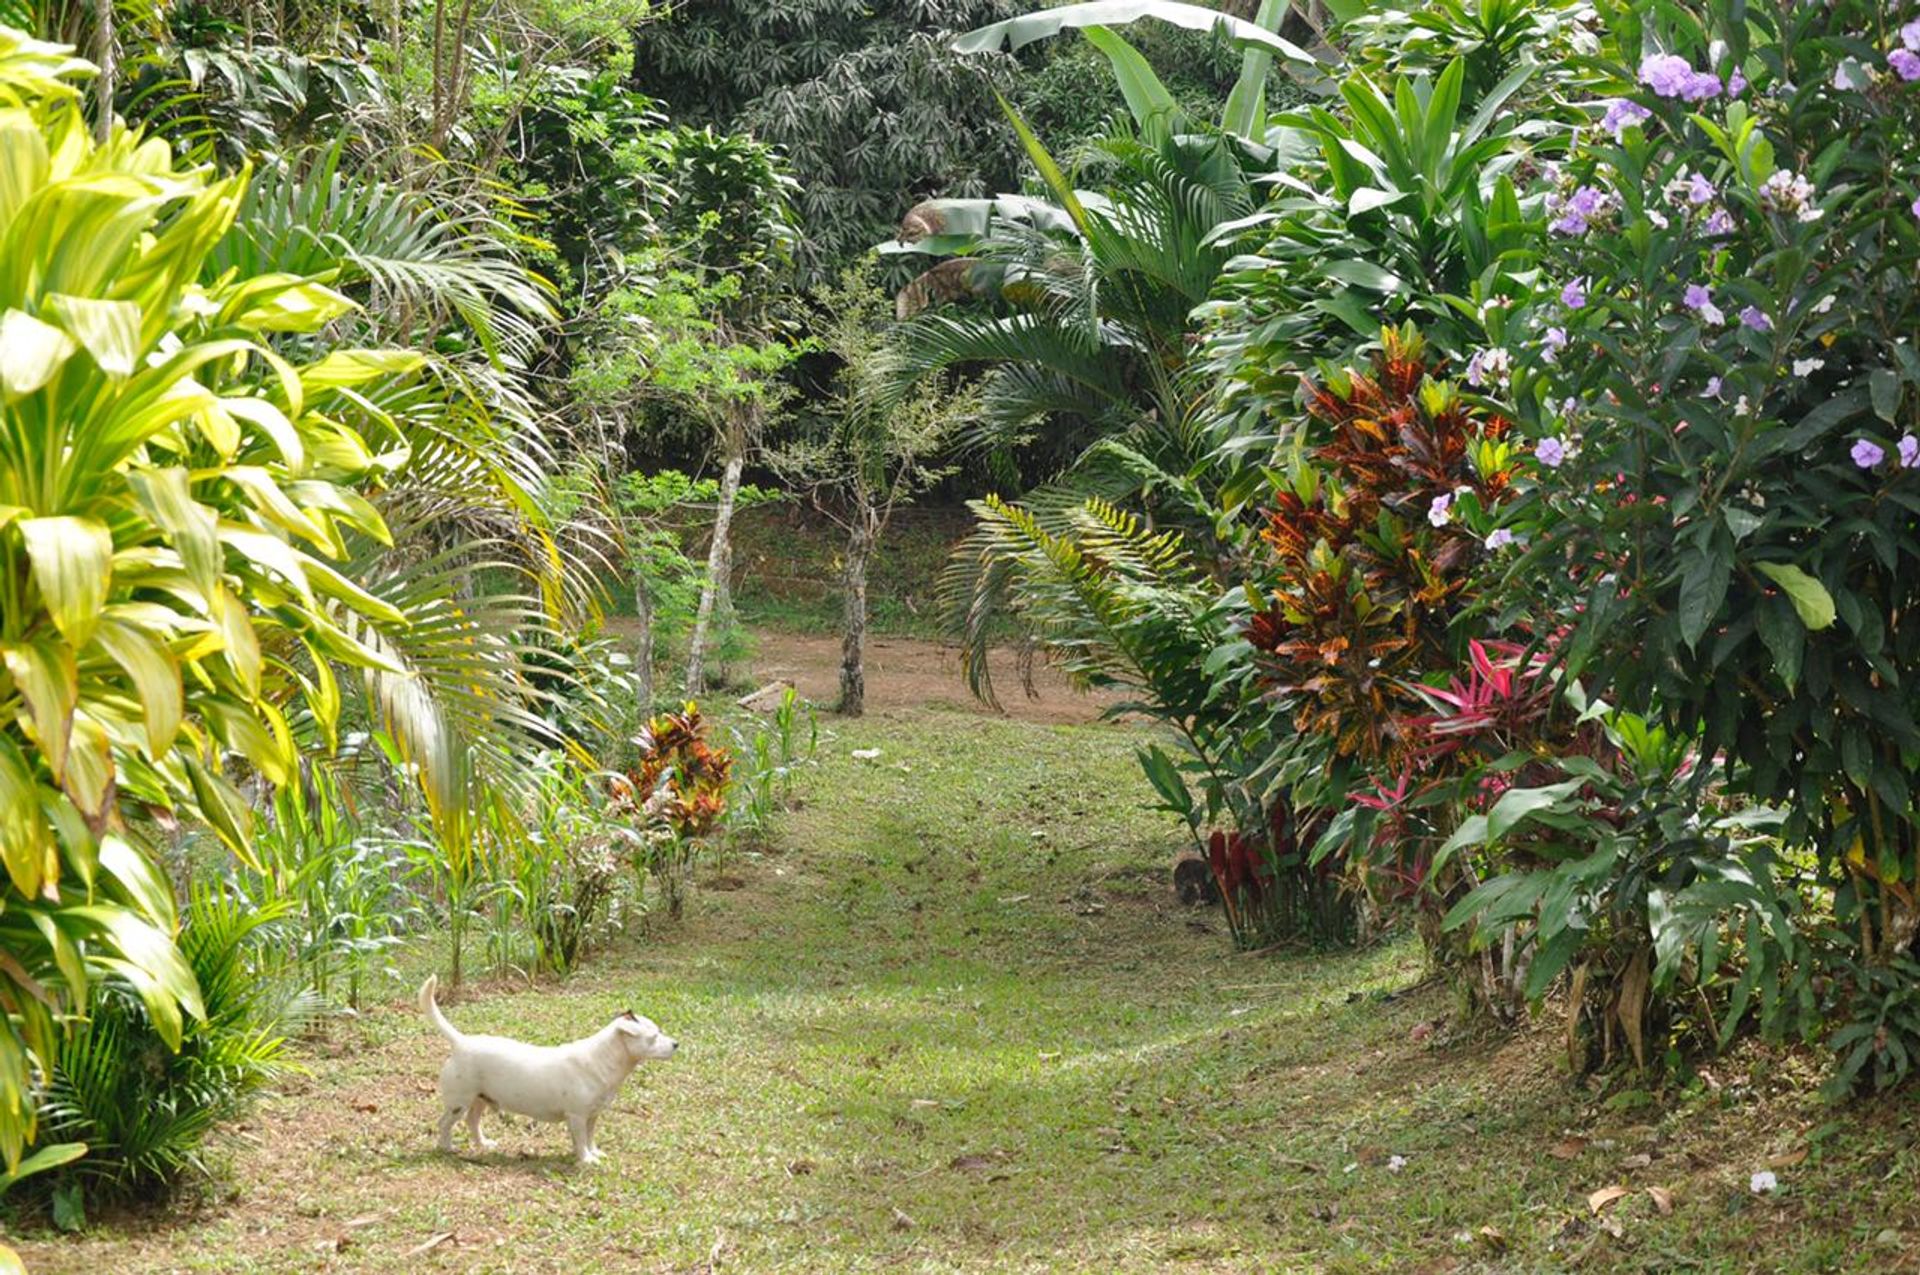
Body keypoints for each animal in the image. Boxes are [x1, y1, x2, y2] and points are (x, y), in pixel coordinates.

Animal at [424, 975, 679, 1167]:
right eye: (653, 1037)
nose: (676, 1044)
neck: (604, 1058)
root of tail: (461, 1042)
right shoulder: (577, 1116)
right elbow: (581, 1140)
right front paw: (586, 1160)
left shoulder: (592, 1115)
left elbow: (590, 1137)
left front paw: (594, 1152)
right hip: (459, 1101)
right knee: (444, 1123)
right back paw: (446, 1147)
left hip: (481, 1098)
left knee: (472, 1121)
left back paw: (483, 1144)